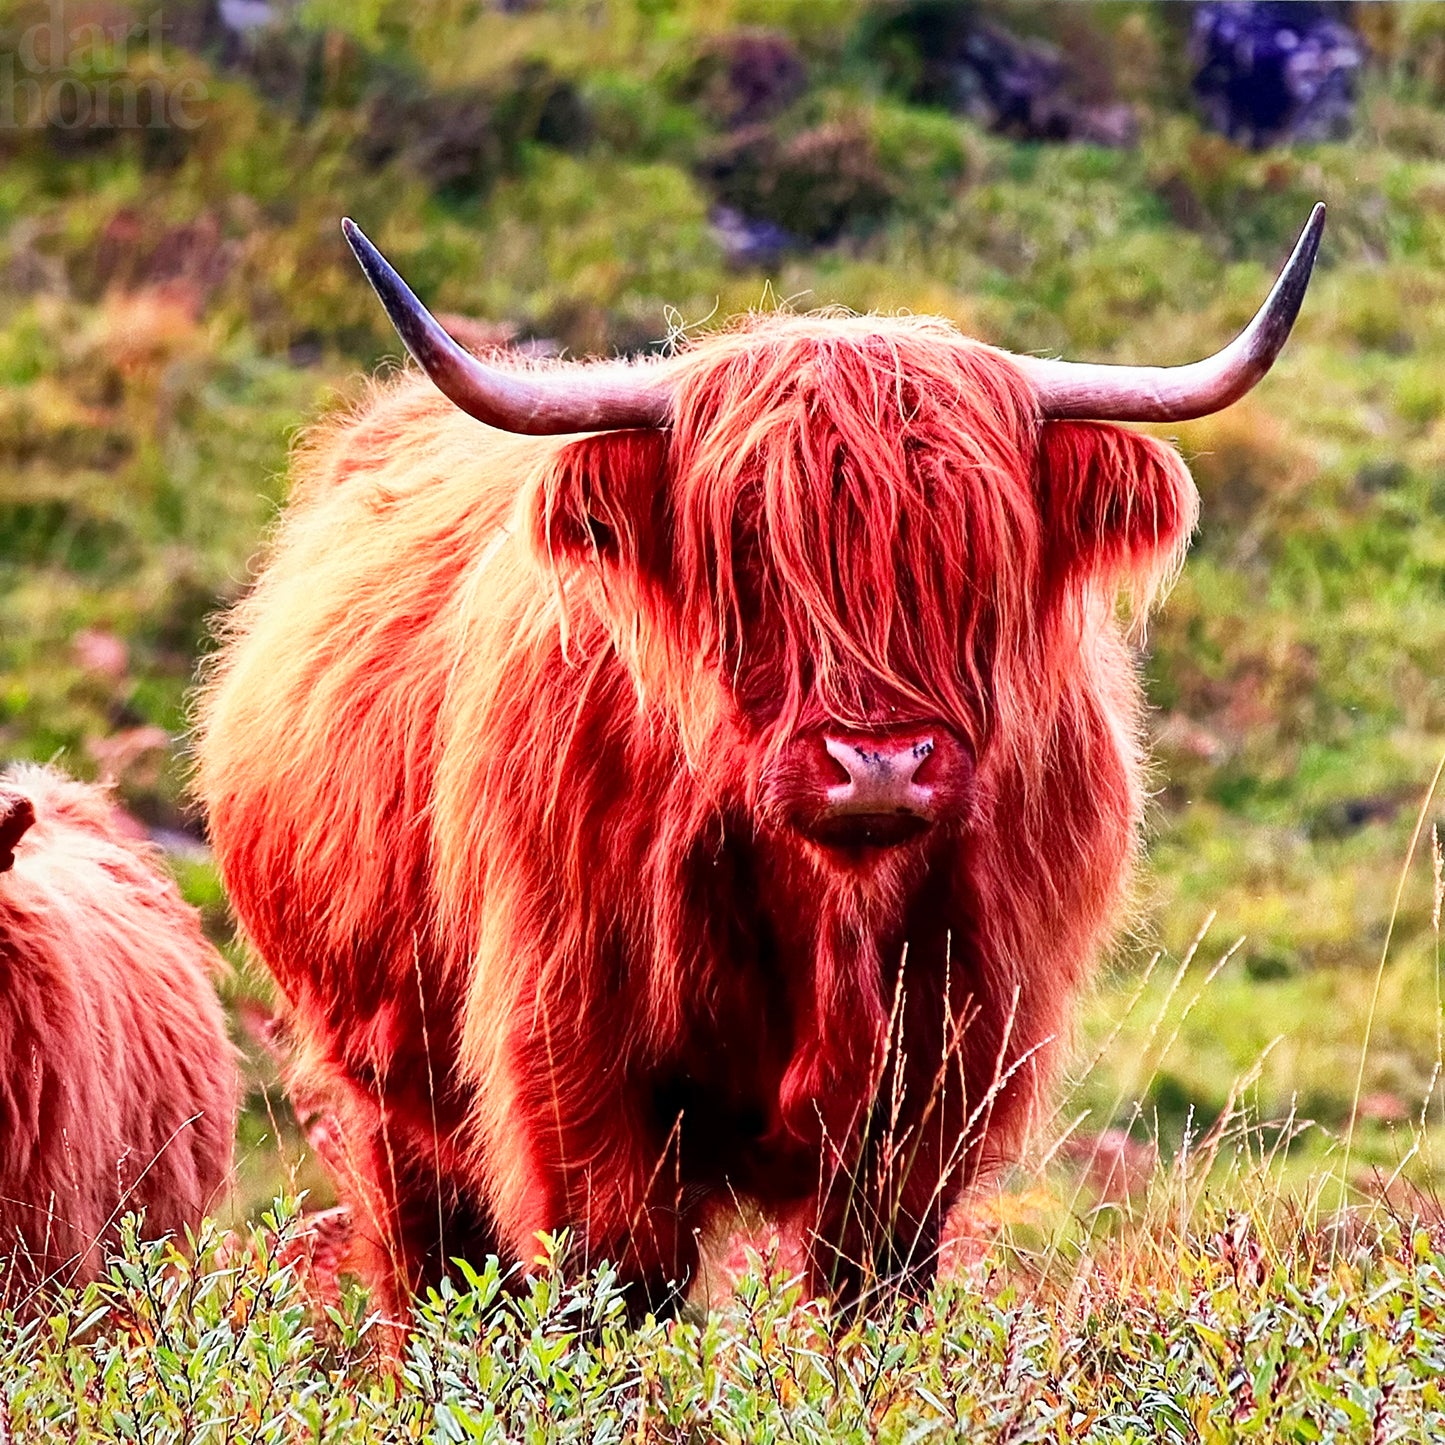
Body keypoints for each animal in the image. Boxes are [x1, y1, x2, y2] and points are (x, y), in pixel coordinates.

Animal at [197, 206, 1323, 1323]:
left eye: (974, 549)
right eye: (747, 547)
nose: (879, 761)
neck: (826, 907)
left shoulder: (936, 1087)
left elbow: (873, 1291)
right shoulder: (573, 1068)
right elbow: (613, 1286)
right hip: (382, 1087)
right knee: (435, 1277)